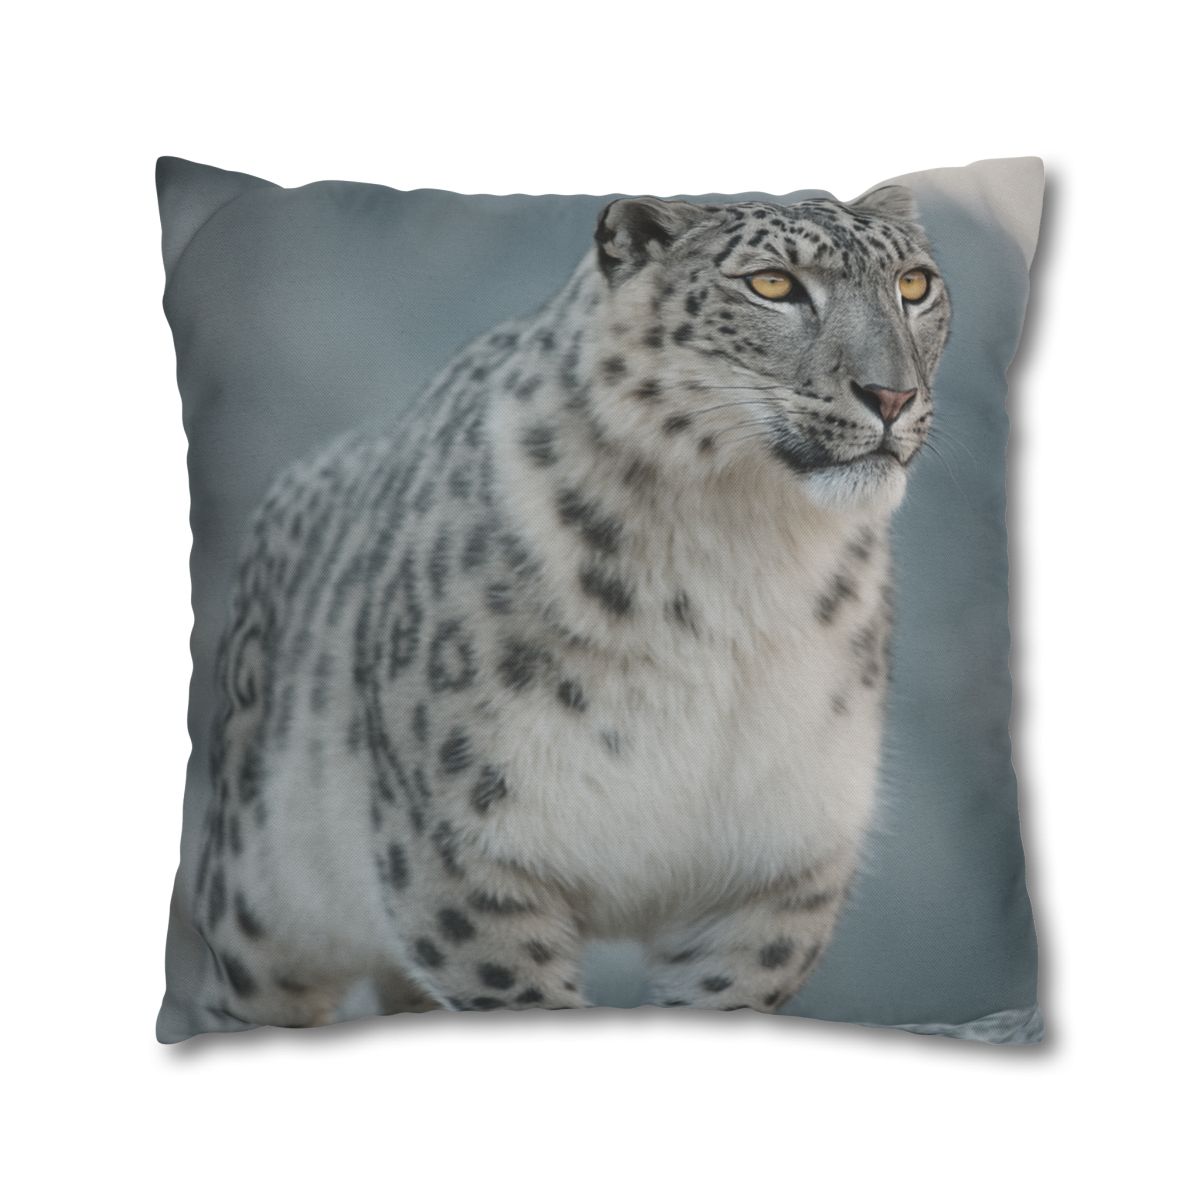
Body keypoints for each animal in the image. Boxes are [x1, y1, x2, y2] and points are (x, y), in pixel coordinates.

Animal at [191, 184, 951, 1028]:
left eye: (914, 284)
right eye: (773, 284)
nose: (892, 394)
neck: (745, 557)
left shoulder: (777, 867)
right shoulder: (464, 848)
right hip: (260, 901)